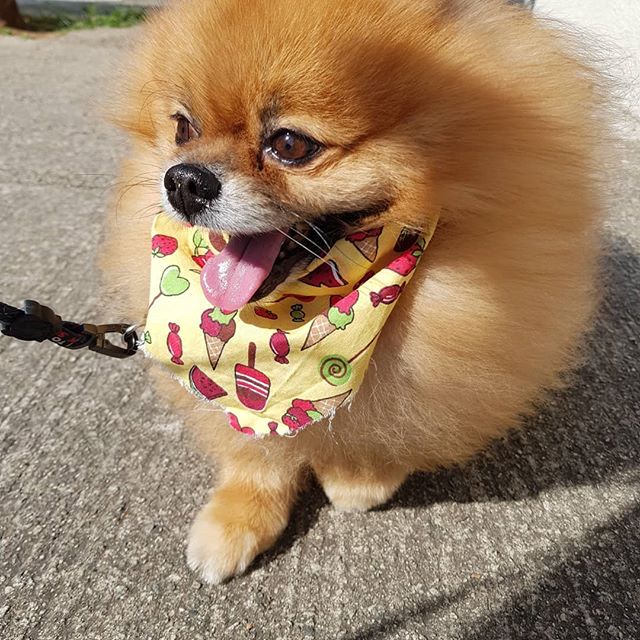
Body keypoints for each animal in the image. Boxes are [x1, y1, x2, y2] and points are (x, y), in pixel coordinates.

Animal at [102, 0, 608, 584]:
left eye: (290, 145)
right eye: (183, 127)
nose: (183, 180)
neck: (288, 323)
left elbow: (377, 425)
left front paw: (358, 478)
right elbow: (254, 448)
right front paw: (238, 516)